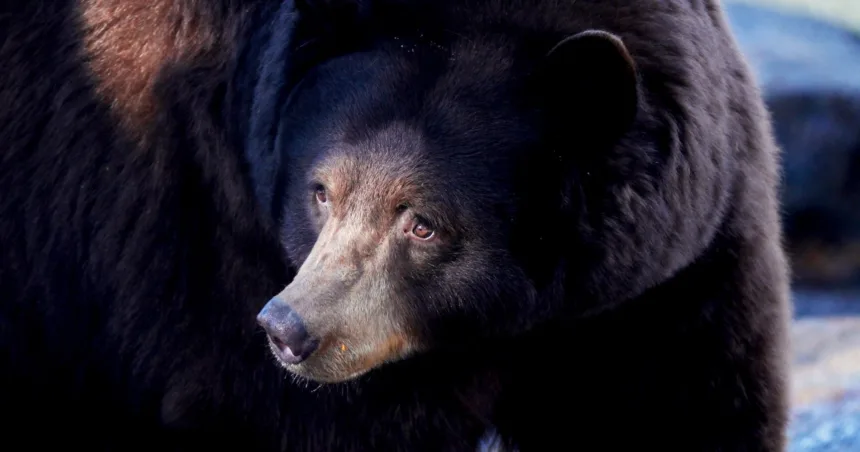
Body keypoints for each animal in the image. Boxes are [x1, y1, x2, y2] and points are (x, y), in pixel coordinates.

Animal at [0, 0, 791, 451]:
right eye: (321, 192)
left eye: (423, 224)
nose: (287, 329)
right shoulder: (207, 224)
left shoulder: (669, 274)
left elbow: (676, 406)